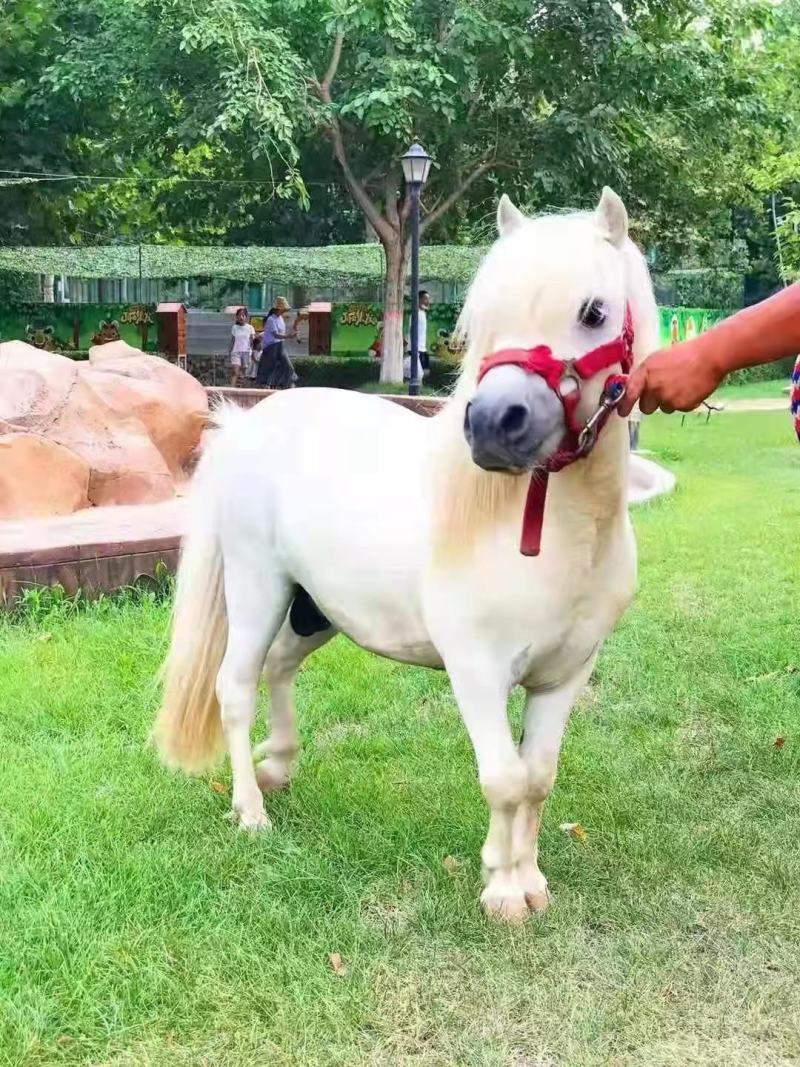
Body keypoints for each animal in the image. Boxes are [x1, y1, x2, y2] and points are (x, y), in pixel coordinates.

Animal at [153, 188, 660, 922]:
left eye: (594, 312)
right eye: (487, 315)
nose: (495, 424)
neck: (555, 535)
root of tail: (246, 423)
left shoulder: (565, 675)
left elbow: (537, 778)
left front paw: (530, 879)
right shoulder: (476, 669)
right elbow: (504, 778)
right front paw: (501, 888)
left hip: (318, 609)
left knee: (279, 668)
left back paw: (279, 766)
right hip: (257, 591)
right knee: (236, 686)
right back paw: (251, 811)